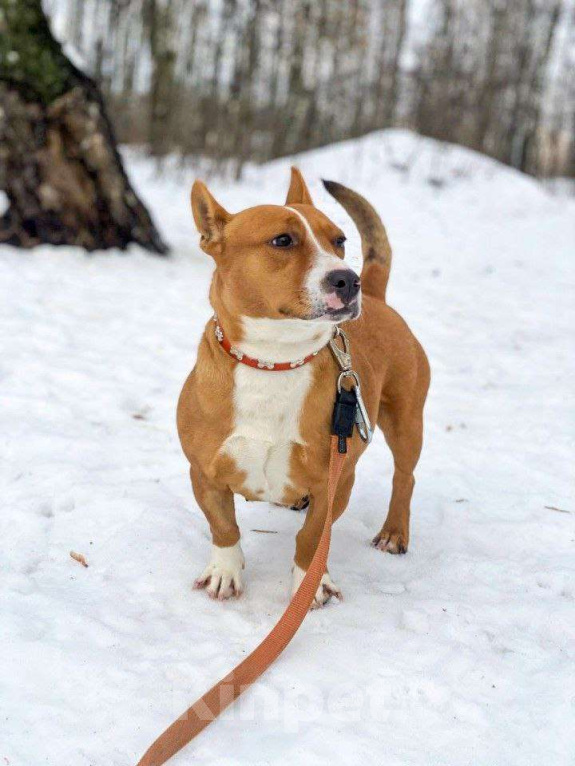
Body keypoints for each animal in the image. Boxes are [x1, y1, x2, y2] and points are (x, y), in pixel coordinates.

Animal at [178, 170, 430, 612]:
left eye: (340, 240)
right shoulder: (204, 472)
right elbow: (223, 527)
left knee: (405, 476)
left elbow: (312, 539)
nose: (348, 279)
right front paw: (225, 572)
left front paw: (310, 585)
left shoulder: (337, 481)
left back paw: (394, 531)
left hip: (406, 421)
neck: (274, 360)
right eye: (282, 240)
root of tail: (377, 297)